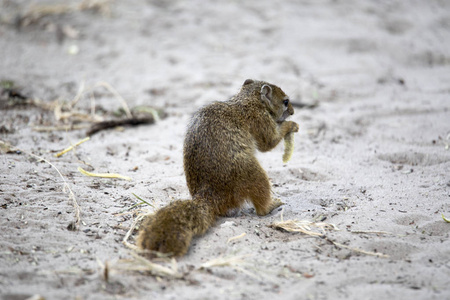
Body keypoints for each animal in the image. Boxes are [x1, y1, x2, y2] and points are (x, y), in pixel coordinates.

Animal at [137, 78, 298, 256]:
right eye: (285, 102)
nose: (292, 112)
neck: (247, 100)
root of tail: (211, 196)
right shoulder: (260, 120)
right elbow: (269, 142)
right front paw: (291, 125)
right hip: (252, 173)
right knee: (261, 206)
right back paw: (271, 205)